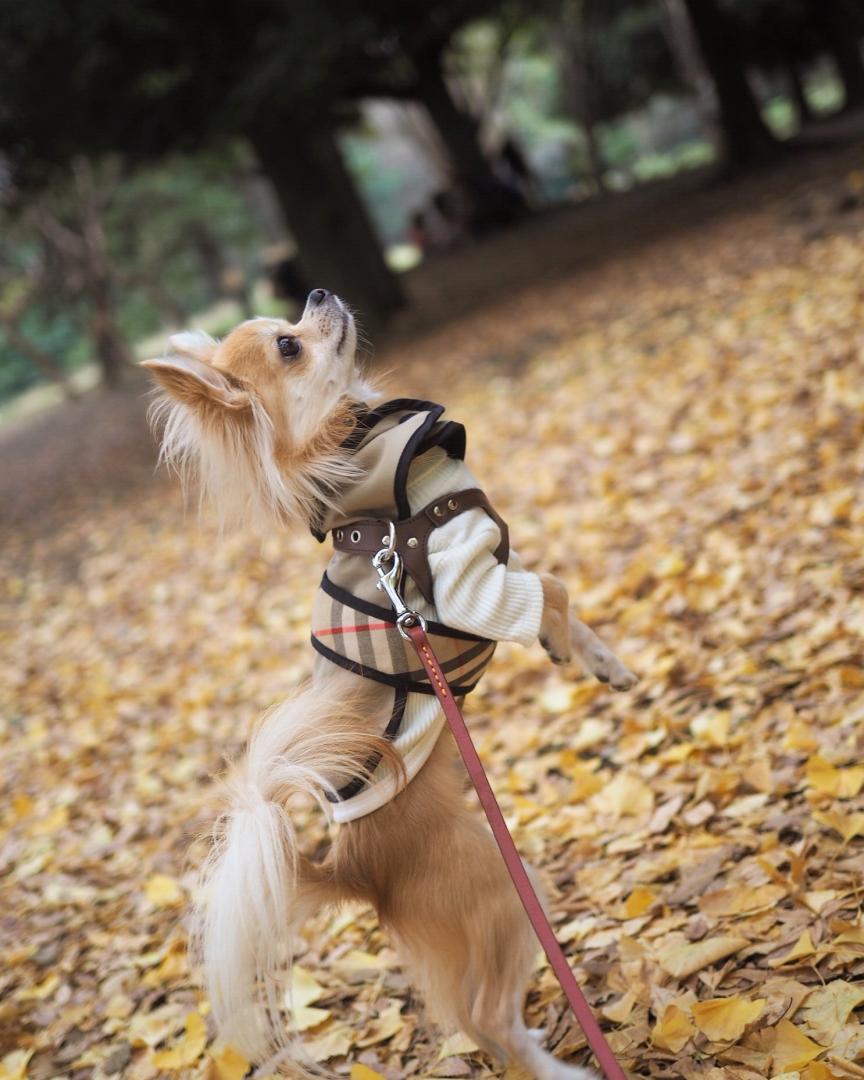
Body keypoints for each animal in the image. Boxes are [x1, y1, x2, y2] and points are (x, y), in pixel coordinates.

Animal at [144, 289, 639, 1080]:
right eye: (289, 346)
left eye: (290, 323)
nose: (318, 293)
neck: (362, 453)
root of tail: (355, 870)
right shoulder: (469, 583)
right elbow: (555, 591)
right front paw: (563, 641)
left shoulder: (502, 565)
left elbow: (558, 593)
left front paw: (600, 661)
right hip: (507, 894)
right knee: (486, 1018)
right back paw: (565, 1069)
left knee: (485, 1027)